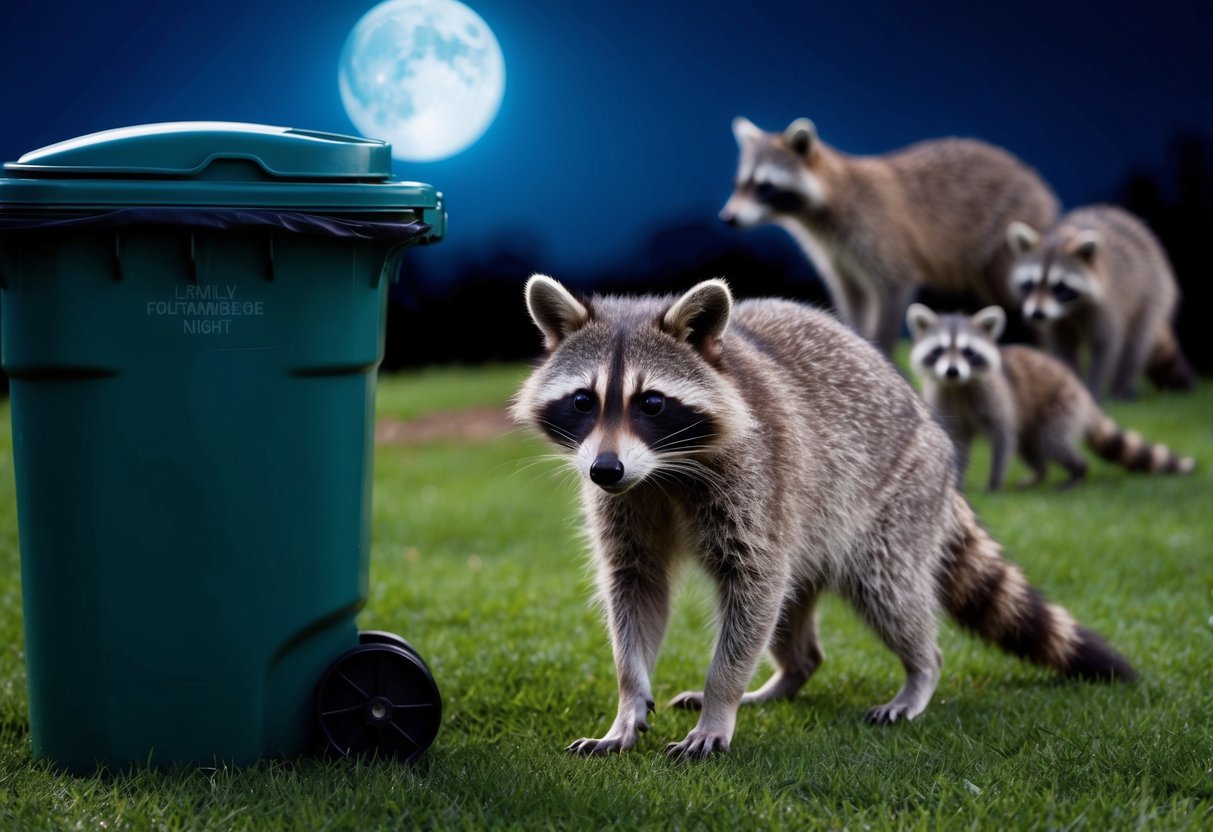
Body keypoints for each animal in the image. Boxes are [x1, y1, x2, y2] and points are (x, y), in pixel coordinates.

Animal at [512, 275, 1135, 759]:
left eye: (653, 403)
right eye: (584, 401)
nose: (605, 469)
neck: (662, 469)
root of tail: (933, 431)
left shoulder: (756, 480)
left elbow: (752, 585)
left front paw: (721, 700)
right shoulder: (626, 504)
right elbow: (635, 588)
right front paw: (628, 701)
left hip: (893, 499)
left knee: (887, 592)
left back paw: (919, 671)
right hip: (810, 528)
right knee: (790, 614)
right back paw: (785, 676)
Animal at [720, 116, 1059, 354]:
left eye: (764, 186)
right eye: (740, 184)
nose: (728, 218)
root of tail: (1041, 189)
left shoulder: (879, 233)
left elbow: (893, 289)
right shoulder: (838, 258)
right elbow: (852, 300)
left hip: (1006, 239)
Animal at [907, 303, 1196, 491]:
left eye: (968, 352)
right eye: (939, 350)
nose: (952, 370)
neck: (958, 386)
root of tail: (1079, 386)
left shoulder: (996, 398)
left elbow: (1002, 437)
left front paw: (994, 482)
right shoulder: (944, 400)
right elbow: (956, 441)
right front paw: (956, 482)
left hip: (1062, 406)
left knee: (1053, 442)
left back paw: (1078, 471)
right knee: (1029, 447)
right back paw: (1039, 474)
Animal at [1006, 204, 1195, 399]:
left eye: (1060, 287)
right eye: (1030, 284)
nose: (1037, 314)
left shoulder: (1109, 300)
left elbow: (1105, 345)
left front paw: (1092, 388)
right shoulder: (1054, 320)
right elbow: (1063, 346)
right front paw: (1069, 377)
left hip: (1154, 289)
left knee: (1135, 344)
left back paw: (1122, 387)